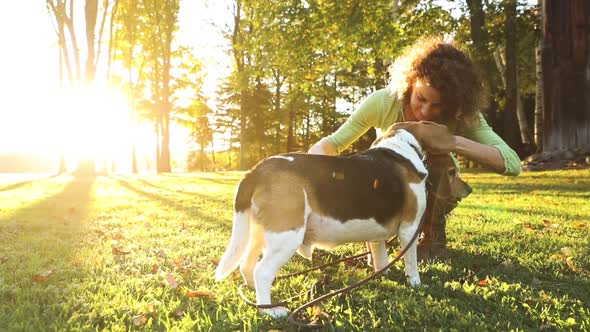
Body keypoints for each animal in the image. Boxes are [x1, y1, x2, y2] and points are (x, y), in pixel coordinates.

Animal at [215, 124, 456, 316]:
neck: (401, 147)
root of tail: (256, 171)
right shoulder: (409, 229)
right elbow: (411, 263)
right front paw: (416, 284)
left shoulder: (377, 236)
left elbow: (381, 260)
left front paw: (382, 276)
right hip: (286, 236)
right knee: (262, 272)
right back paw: (270, 311)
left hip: (258, 233)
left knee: (247, 265)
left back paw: (253, 295)